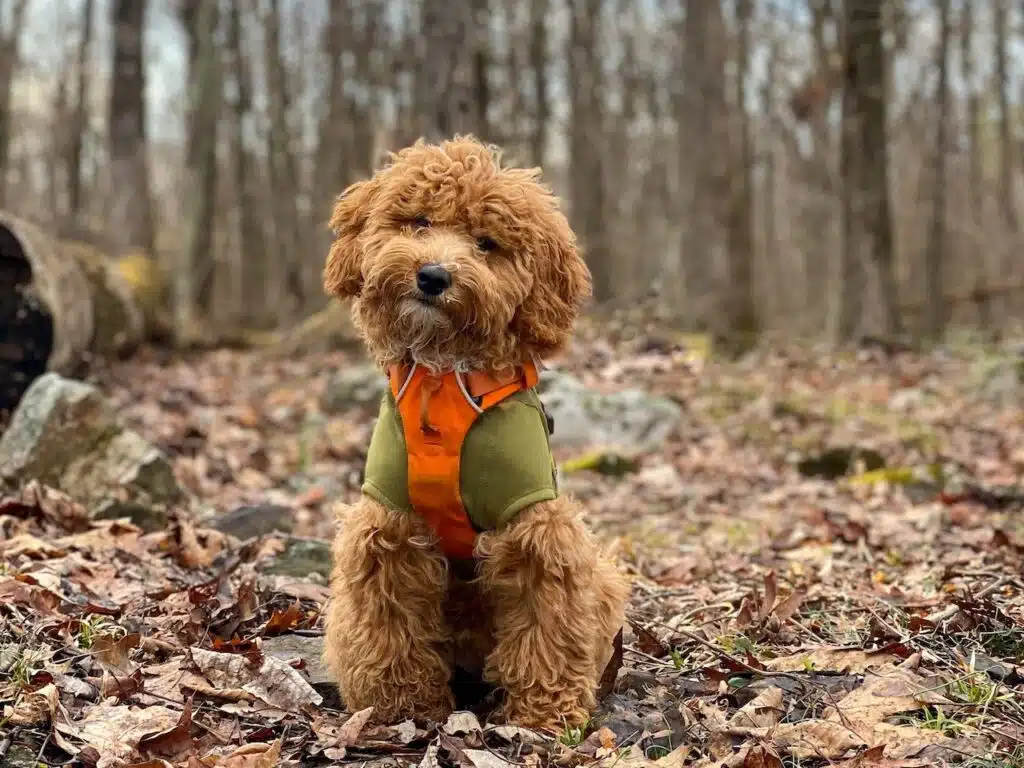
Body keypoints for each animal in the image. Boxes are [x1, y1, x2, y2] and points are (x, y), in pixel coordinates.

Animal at [319, 135, 626, 729]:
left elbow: (546, 621)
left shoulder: (535, 529)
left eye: (487, 244)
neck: (444, 379)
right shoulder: (389, 526)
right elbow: (389, 621)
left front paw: (544, 713)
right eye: (418, 221)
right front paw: (401, 705)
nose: (433, 276)